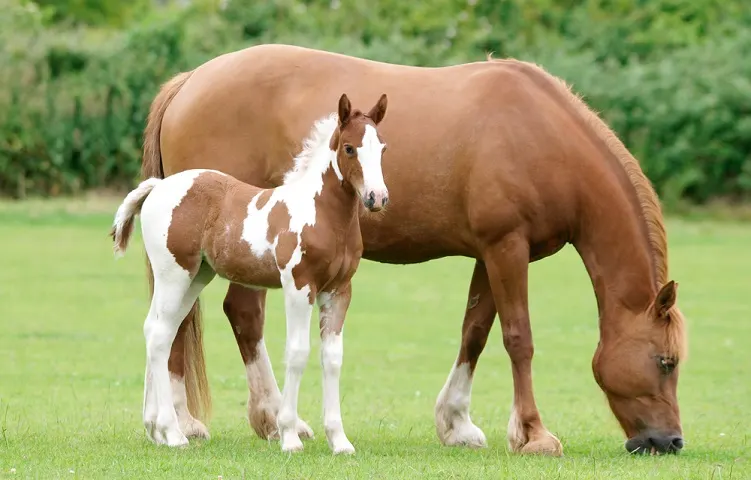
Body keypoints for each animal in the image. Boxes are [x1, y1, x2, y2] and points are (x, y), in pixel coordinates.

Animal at [111, 93, 390, 453]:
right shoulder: (299, 286)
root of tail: (158, 187)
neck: (320, 213)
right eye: (350, 148)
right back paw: (174, 434)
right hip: (174, 274)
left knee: (157, 329)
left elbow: (332, 357)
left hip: (195, 278)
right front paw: (289, 436)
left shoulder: (339, 290)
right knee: (160, 336)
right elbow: (297, 353)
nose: (376, 198)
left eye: (382, 147)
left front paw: (339, 441)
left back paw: (156, 429)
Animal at [141, 44, 688, 455]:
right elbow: (518, 338)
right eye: (666, 362)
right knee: (214, 319)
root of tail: (189, 81)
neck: (541, 138)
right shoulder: (507, 248)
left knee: (197, 320)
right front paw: (533, 434)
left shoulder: (491, 253)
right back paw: (222, 421)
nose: (671, 441)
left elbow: (475, 331)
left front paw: (456, 422)